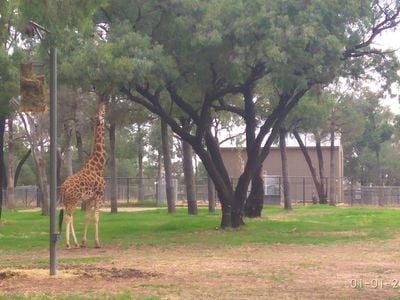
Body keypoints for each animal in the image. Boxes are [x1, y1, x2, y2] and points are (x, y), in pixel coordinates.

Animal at [58, 95, 107, 248]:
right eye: (102, 110)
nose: (104, 103)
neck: (99, 166)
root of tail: (63, 187)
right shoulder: (99, 196)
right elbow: (96, 218)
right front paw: (97, 242)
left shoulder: (89, 198)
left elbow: (87, 217)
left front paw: (84, 242)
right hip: (73, 199)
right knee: (68, 217)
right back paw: (68, 243)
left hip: (68, 200)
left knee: (70, 217)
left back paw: (75, 243)